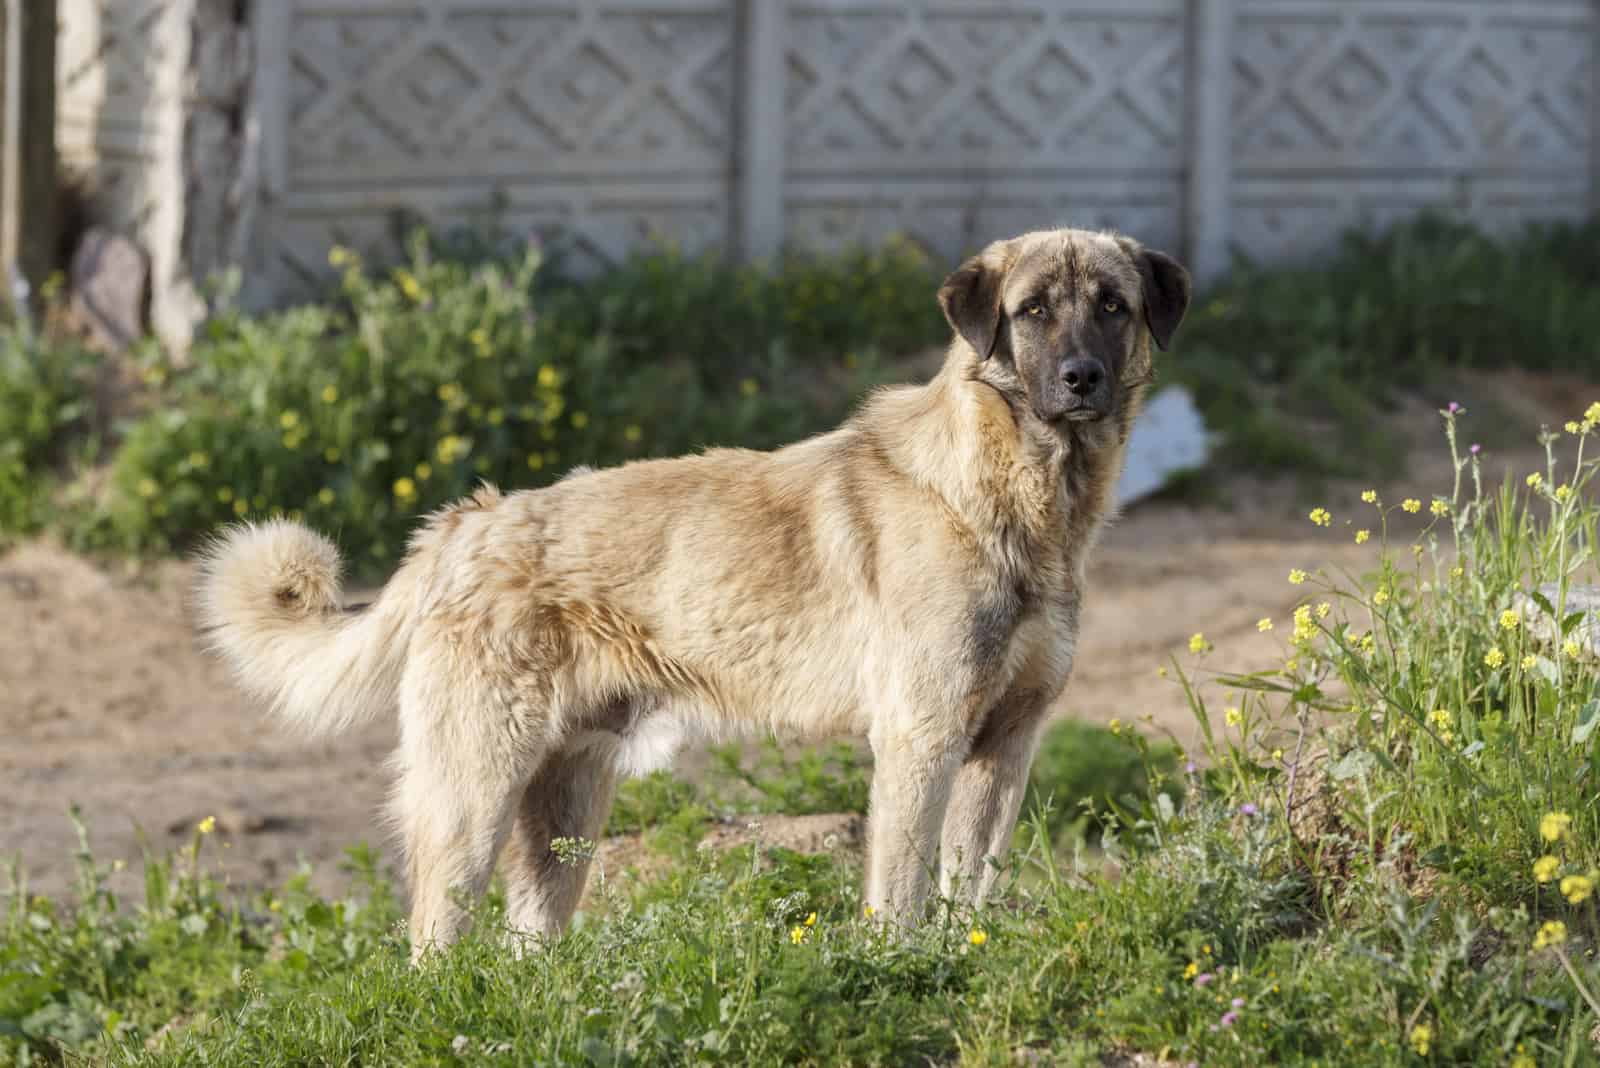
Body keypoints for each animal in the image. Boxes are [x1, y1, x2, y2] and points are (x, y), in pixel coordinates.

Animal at [196, 227, 1190, 959]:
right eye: (1032, 312)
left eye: (1112, 306)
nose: (1081, 380)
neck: (1010, 496)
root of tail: (465, 524)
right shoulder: (922, 738)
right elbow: (904, 890)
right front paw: (905, 966)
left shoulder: (1006, 746)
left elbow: (972, 884)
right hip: (472, 792)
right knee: (433, 936)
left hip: (566, 810)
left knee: (527, 941)